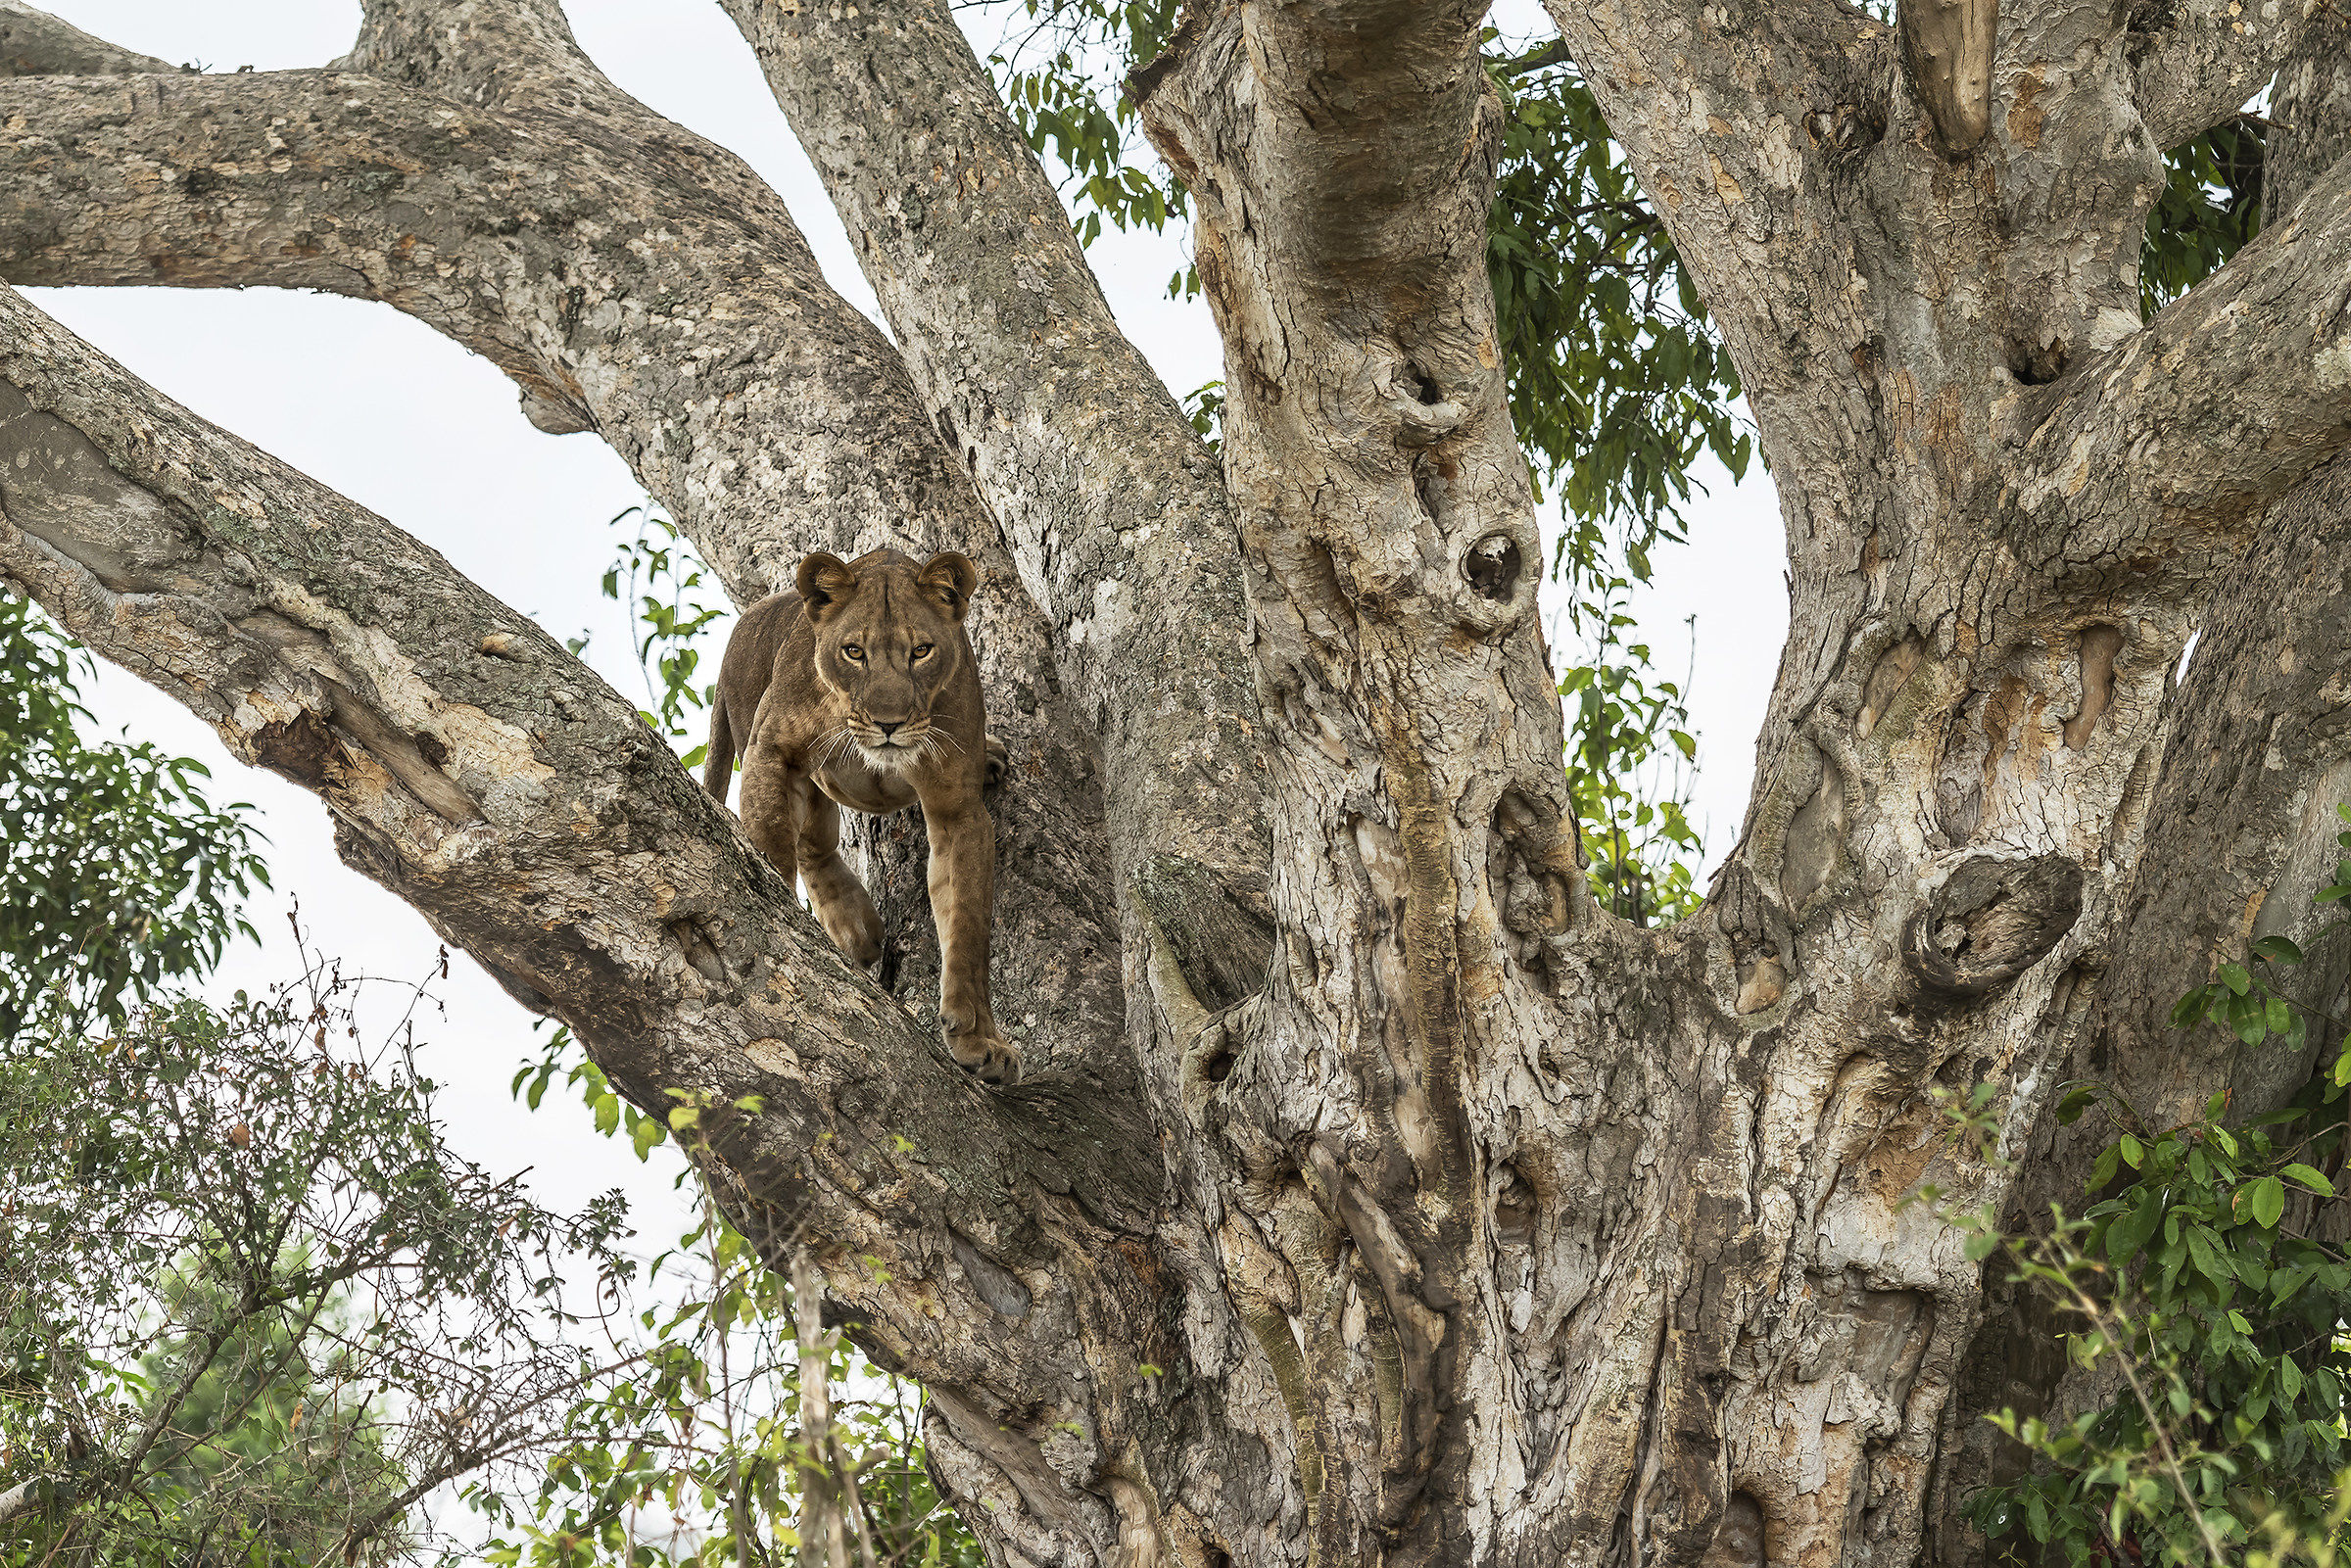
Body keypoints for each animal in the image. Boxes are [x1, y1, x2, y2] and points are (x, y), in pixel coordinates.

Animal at [703, 547, 1017, 1084]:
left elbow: (967, 927)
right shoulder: (770, 750)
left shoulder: (957, 809)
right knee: (809, 846)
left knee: (814, 844)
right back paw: (857, 928)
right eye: (853, 652)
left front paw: (979, 1041)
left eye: (921, 651)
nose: (889, 724)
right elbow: (770, 850)